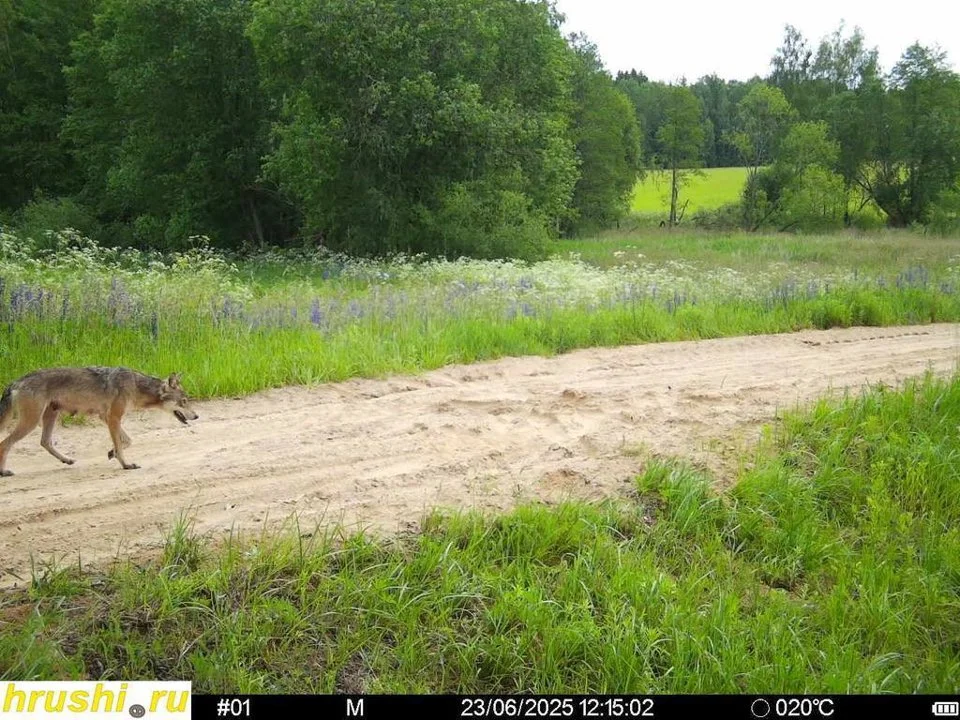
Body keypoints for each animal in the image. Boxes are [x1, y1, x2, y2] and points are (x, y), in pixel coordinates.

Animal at [0, 366, 199, 476]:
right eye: (184, 401)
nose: (197, 416)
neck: (136, 386)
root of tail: (16, 381)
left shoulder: (106, 417)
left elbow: (127, 441)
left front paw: (112, 453)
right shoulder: (113, 418)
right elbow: (121, 444)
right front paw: (126, 464)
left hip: (50, 416)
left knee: (45, 442)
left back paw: (67, 460)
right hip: (31, 422)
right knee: (5, 444)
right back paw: (4, 472)